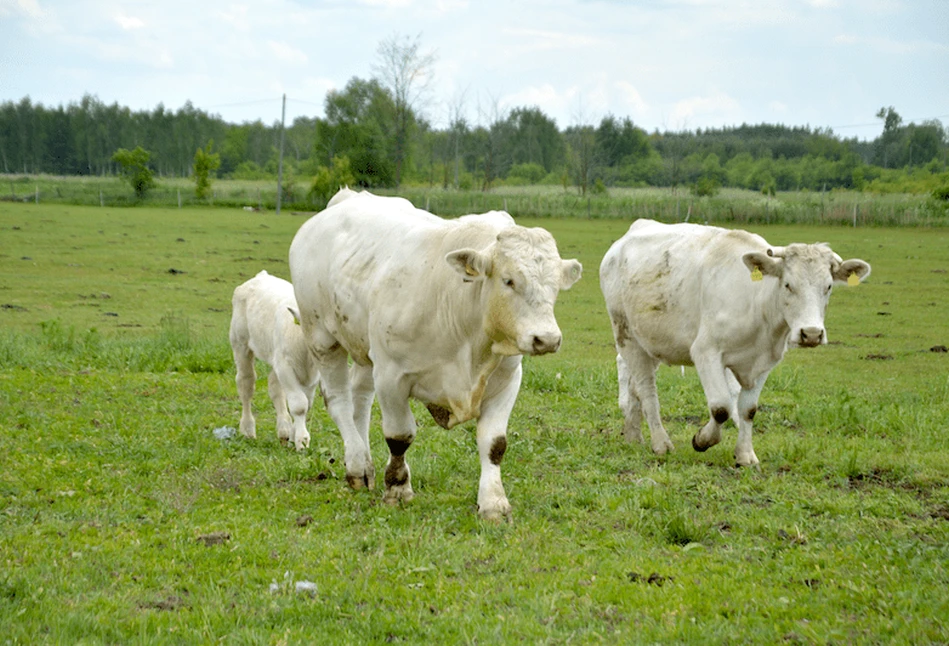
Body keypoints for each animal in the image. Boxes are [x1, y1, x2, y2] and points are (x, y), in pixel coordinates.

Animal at [230, 272, 322, 450]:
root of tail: (261, 275)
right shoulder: (285, 367)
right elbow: (299, 405)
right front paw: (302, 440)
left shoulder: (313, 375)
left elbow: (307, 403)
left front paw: (294, 435)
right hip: (240, 343)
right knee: (246, 384)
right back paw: (247, 430)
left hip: (274, 356)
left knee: (275, 388)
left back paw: (284, 430)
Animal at [286, 189, 580, 520]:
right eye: (509, 280)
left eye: (556, 286)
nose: (547, 339)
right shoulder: (391, 376)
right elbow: (399, 436)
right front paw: (398, 488)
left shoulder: (507, 379)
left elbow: (494, 443)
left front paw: (493, 502)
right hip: (322, 337)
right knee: (339, 401)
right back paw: (358, 466)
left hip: (366, 349)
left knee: (359, 401)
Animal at [596, 220, 872, 468]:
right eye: (787, 285)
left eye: (828, 287)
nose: (811, 334)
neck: (757, 303)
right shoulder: (705, 352)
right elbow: (721, 408)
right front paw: (702, 439)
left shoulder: (764, 362)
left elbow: (748, 409)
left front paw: (745, 455)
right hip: (626, 335)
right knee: (646, 389)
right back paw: (661, 443)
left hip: (651, 342)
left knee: (634, 386)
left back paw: (633, 435)